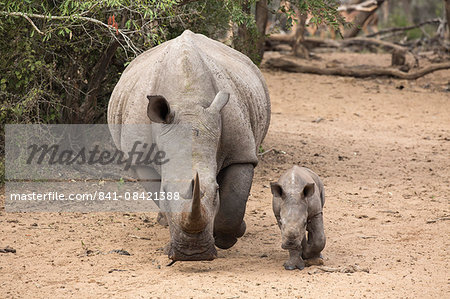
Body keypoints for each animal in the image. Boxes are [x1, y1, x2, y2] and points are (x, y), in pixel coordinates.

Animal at [109, 29, 270, 260]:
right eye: (166, 191)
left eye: (216, 190)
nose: (193, 254)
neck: (187, 101)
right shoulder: (141, 159)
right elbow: (158, 193)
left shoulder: (241, 153)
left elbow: (234, 204)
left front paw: (226, 238)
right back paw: (162, 222)